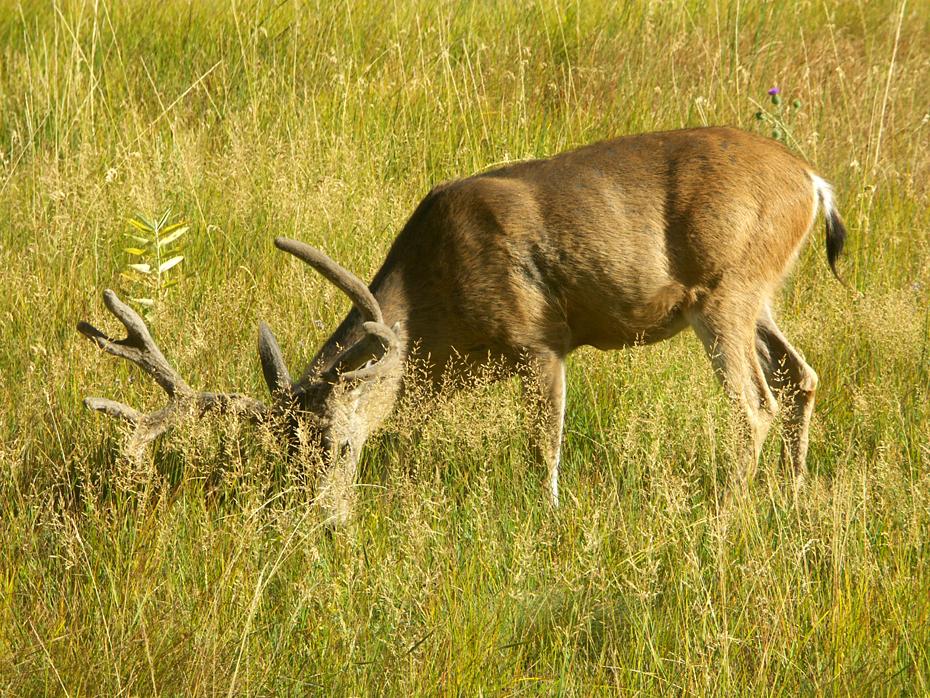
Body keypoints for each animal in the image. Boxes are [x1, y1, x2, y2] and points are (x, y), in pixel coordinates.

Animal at [78, 126, 846, 525]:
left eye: (342, 447)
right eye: (283, 454)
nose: (322, 521)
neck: (433, 302)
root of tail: (814, 182)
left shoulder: (540, 338)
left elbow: (544, 445)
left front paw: (549, 520)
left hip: (729, 290)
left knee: (756, 403)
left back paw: (725, 513)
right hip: (758, 295)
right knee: (800, 375)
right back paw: (793, 496)